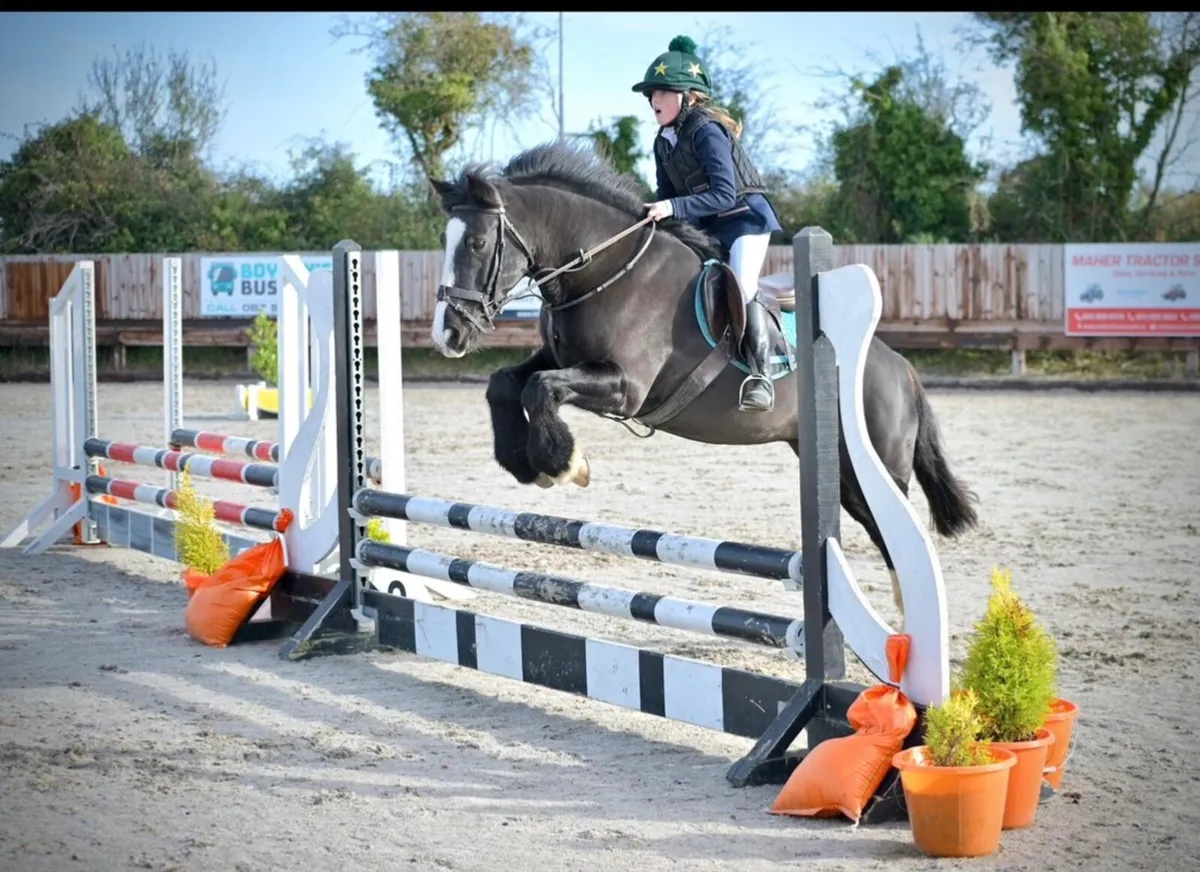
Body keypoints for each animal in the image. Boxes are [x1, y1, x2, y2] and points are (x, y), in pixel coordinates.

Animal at [427, 140, 978, 614]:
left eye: (477, 242)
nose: (447, 334)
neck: (605, 269)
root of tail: (898, 367)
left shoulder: (625, 387)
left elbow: (542, 388)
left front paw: (565, 464)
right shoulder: (558, 358)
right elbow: (507, 383)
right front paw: (526, 462)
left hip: (874, 465)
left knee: (898, 532)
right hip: (837, 471)